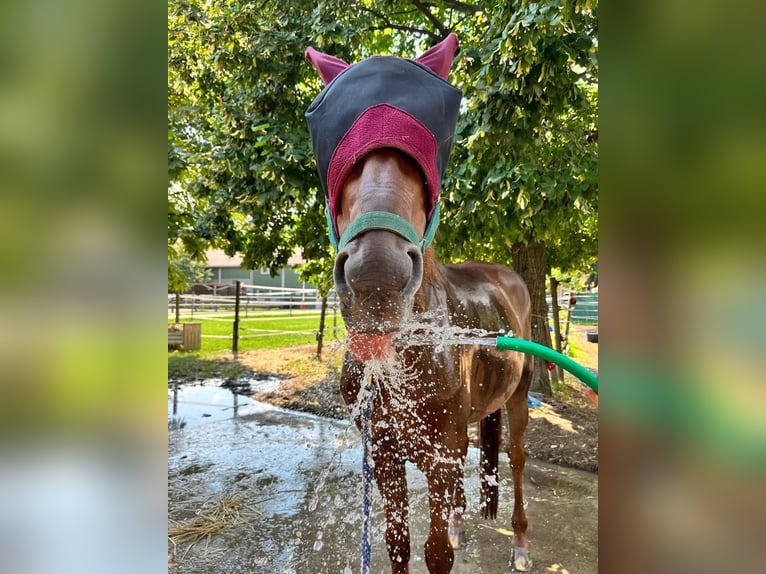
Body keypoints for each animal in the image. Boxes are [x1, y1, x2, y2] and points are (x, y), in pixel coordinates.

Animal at [306, 35, 536, 572]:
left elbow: (435, 554)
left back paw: (518, 543)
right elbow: (398, 544)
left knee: (515, 461)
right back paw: (461, 524)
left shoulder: (438, 455)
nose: (376, 276)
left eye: (423, 165)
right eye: (339, 160)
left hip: (517, 400)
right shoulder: (386, 454)